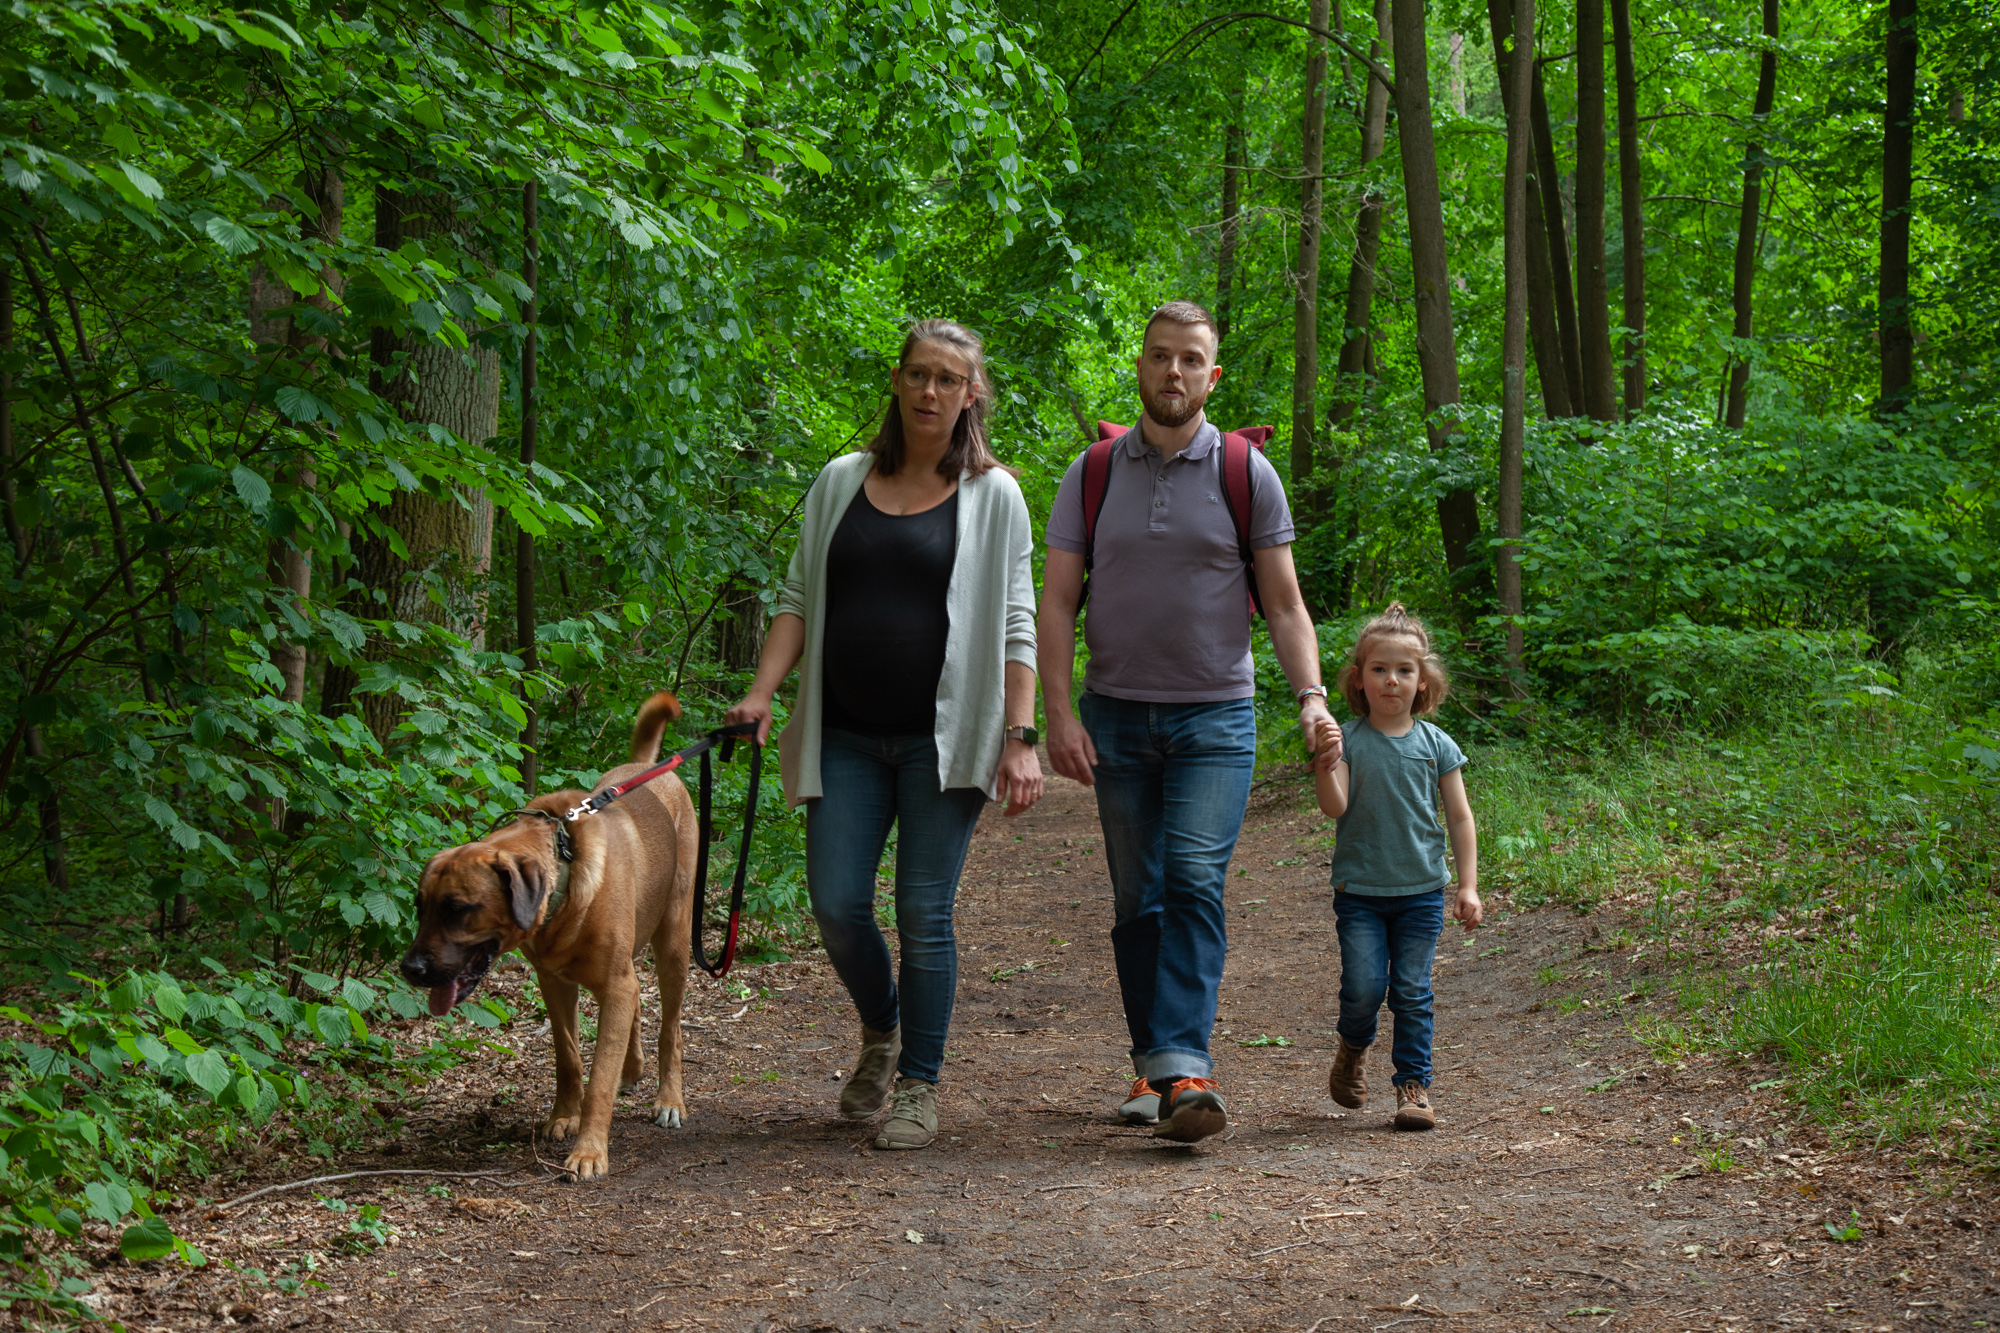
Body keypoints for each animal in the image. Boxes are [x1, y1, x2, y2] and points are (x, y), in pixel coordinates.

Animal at [396, 688, 696, 1176]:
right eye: (420, 907)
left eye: (458, 910)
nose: (410, 968)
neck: (565, 883)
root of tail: (644, 768)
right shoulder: (555, 983)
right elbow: (569, 1057)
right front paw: (563, 1118)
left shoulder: (613, 984)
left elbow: (599, 1078)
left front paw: (589, 1151)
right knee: (637, 1005)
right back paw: (632, 1068)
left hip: (674, 941)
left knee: (671, 1027)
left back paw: (669, 1099)